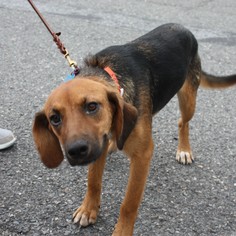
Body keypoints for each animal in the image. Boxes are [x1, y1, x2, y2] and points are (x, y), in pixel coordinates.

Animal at [31, 23, 236, 234]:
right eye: (55, 119)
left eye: (92, 106)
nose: (77, 151)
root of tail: (182, 27)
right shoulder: (99, 144)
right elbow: (93, 182)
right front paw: (88, 209)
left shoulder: (142, 155)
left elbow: (129, 204)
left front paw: (122, 231)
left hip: (188, 99)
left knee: (183, 122)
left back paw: (184, 150)